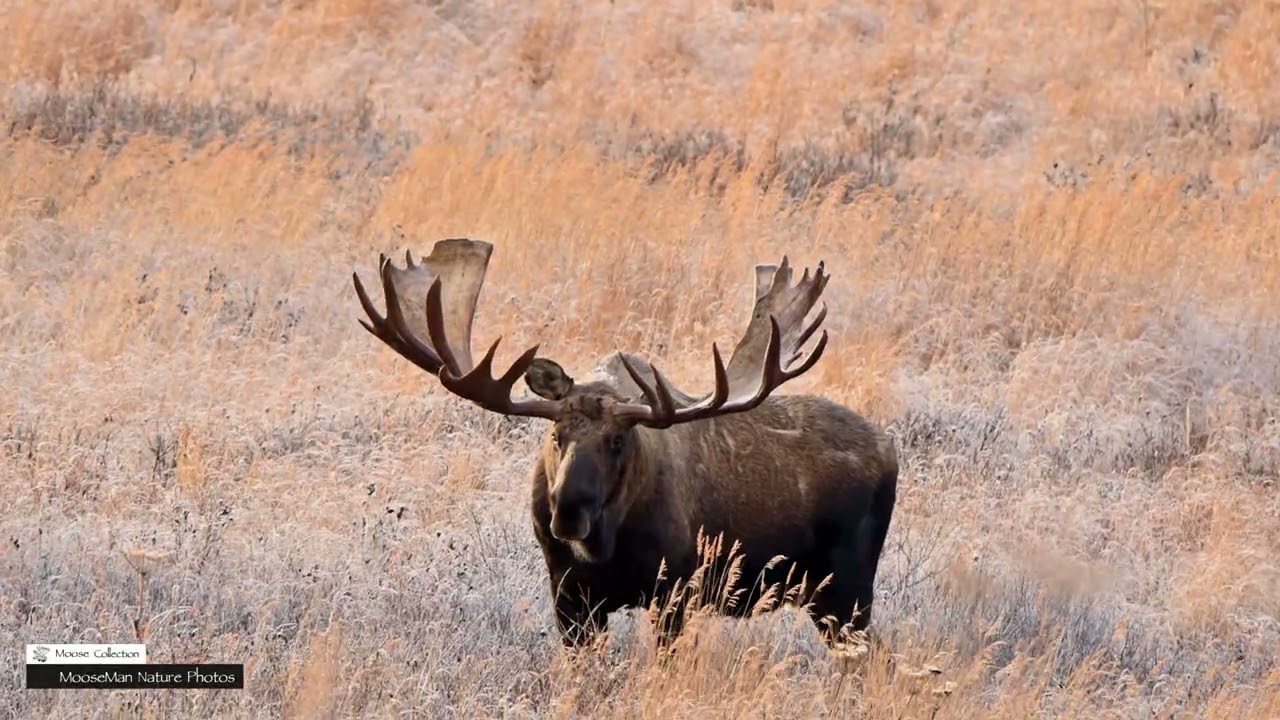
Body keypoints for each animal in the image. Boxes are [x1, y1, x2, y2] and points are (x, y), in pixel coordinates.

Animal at [352, 238, 898, 651]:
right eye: (556, 435)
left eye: (618, 440)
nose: (568, 511)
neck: (606, 545)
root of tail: (890, 448)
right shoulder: (569, 596)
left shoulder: (674, 590)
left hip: (848, 587)